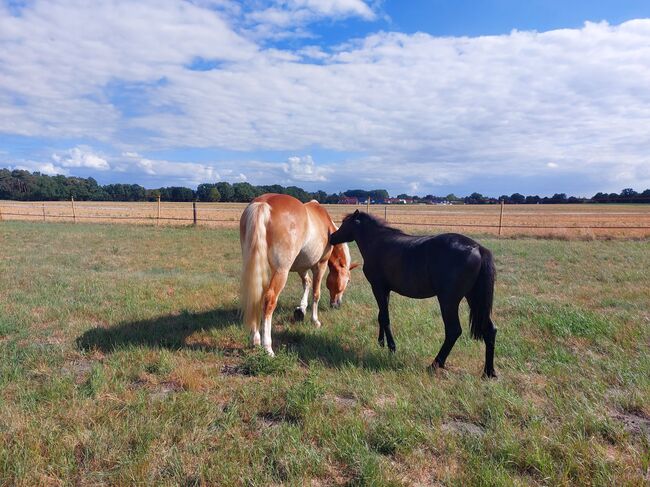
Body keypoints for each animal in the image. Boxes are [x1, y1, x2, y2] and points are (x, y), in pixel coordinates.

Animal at [240, 193, 356, 356]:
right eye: (349, 280)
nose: (337, 304)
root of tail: (264, 204)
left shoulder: (302, 268)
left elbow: (306, 283)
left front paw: (301, 309)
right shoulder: (320, 265)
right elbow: (316, 293)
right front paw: (315, 320)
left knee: (257, 297)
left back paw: (255, 339)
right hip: (281, 272)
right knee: (269, 300)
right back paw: (267, 347)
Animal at [330, 212, 496, 380]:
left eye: (345, 223)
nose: (331, 237)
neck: (377, 242)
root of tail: (478, 249)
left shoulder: (377, 287)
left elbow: (385, 317)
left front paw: (392, 347)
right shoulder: (385, 290)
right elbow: (381, 315)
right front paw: (381, 342)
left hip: (449, 301)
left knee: (453, 330)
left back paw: (435, 364)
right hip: (474, 298)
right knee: (490, 330)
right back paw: (489, 372)